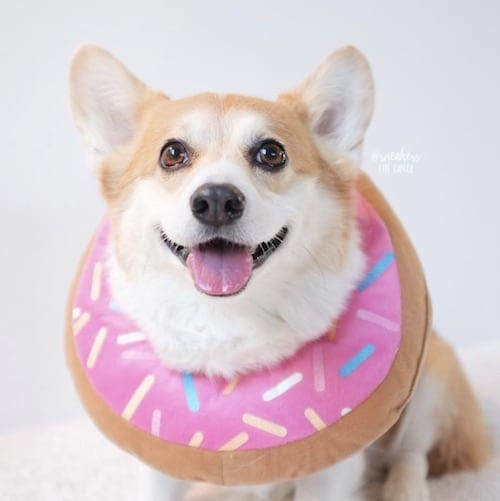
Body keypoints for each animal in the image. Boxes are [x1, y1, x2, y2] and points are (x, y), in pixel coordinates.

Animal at [68, 45, 490, 498]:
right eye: (172, 154)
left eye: (271, 153)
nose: (217, 200)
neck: (228, 317)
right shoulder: (157, 467)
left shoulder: (330, 470)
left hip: (431, 381)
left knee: (411, 455)